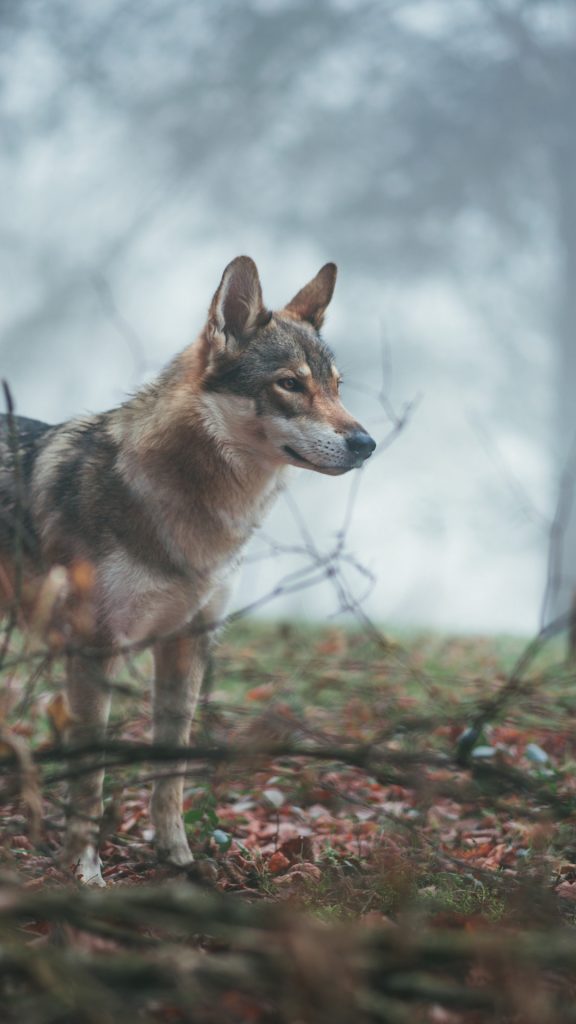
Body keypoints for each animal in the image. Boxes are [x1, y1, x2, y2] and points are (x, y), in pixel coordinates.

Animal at [0, 253, 373, 880]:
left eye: (337, 387)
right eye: (290, 384)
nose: (366, 443)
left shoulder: (187, 643)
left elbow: (170, 771)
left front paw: (177, 859)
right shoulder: (94, 651)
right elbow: (91, 779)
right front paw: (84, 870)